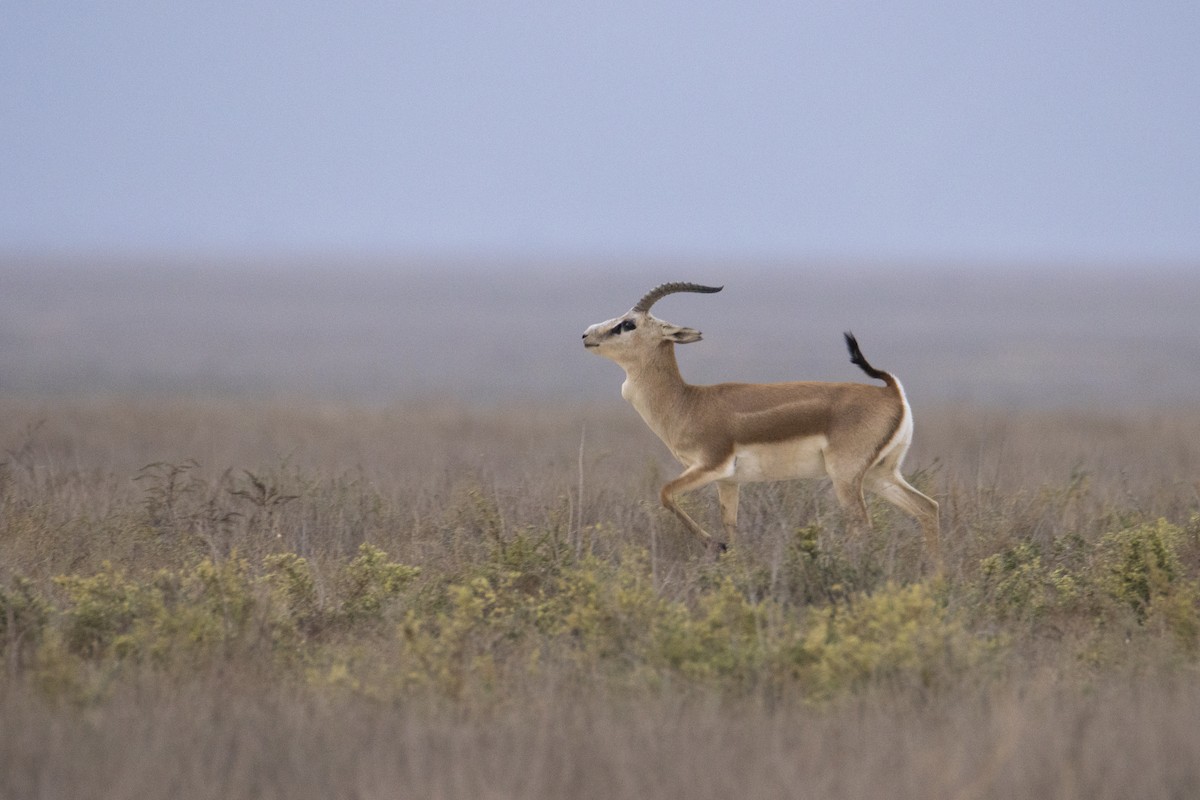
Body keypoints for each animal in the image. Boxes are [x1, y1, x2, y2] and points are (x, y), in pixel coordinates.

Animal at [582, 282, 940, 563]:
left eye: (627, 324)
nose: (586, 335)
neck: (688, 403)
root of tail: (891, 391)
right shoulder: (728, 481)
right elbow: (731, 526)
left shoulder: (710, 466)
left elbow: (665, 493)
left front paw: (716, 546)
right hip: (880, 475)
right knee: (928, 508)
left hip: (846, 477)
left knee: (864, 527)